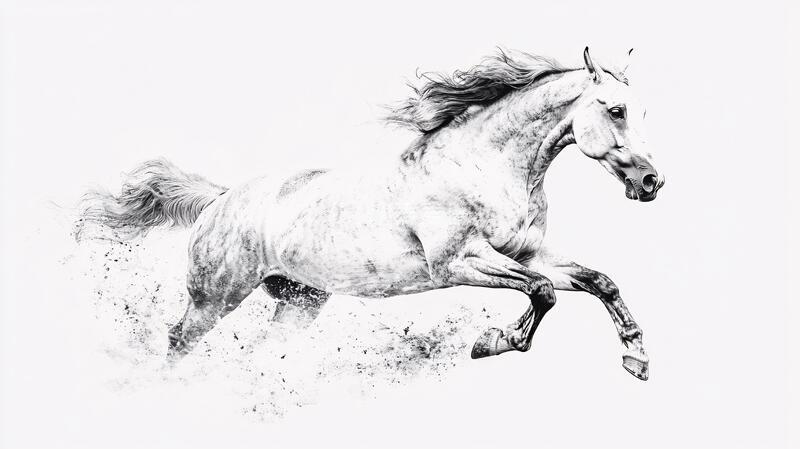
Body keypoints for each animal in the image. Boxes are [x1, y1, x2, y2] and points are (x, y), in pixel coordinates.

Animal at [77, 47, 665, 381]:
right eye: (616, 110)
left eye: (638, 109)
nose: (651, 183)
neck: (482, 166)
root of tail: (221, 199)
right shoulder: (460, 263)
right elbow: (541, 292)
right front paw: (492, 342)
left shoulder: (530, 252)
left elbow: (599, 281)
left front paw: (637, 360)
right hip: (216, 295)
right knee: (180, 339)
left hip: (299, 302)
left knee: (260, 350)